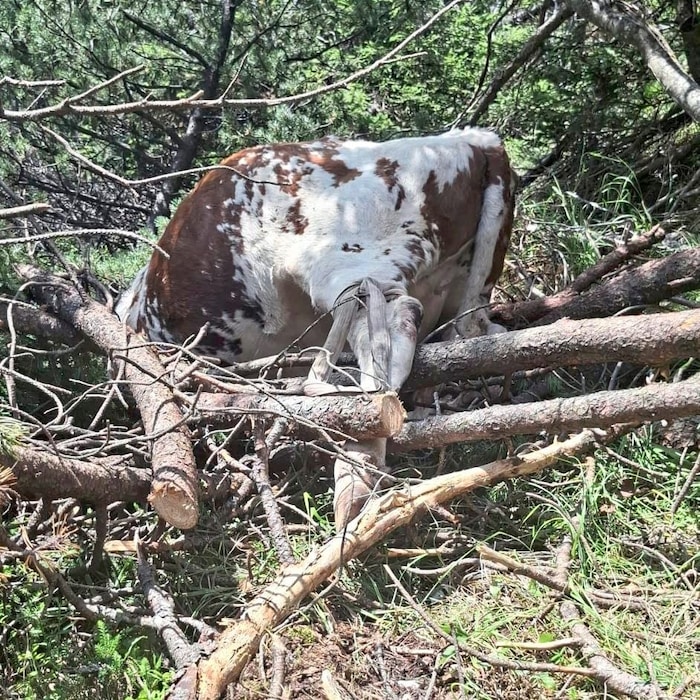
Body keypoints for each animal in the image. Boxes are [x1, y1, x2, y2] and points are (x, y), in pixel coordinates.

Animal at [116, 127, 516, 529]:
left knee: (384, 342)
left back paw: (354, 476)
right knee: (462, 332)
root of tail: (473, 139)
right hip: (466, 295)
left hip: (341, 262)